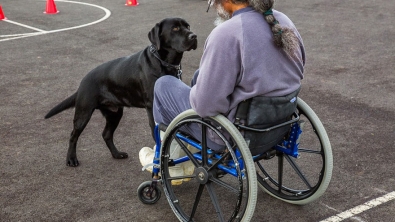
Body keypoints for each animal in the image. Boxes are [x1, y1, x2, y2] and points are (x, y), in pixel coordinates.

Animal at [44, 17, 198, 166]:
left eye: (188, 26)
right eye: (175, 28)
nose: (194, 36)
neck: (165, 62)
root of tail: (83, 82)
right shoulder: (152, 106)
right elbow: (158, 134)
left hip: (115, 113)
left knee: (106, 134)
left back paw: (116, 154)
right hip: (84, 112)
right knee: (73, 136)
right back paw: (71, 159)